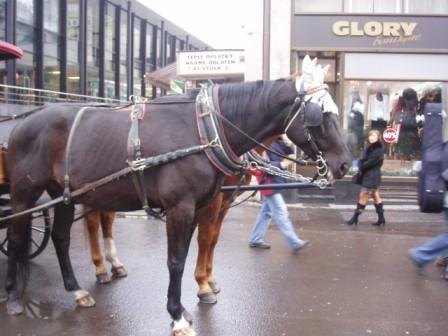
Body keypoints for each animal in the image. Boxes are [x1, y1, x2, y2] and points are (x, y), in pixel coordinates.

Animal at [5, 59, 352, 334]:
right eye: (320, 115)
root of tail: (23, 121)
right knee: (17, 235)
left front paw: (194, 296)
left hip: (64, 194)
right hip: (24, 195)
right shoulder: (180, 207)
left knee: (62, 238)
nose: (345, 164)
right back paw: (13, 296)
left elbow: (200, 246)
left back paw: (77, 289)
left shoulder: (203, 204)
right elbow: (176, 260)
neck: (204, 130)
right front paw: (179, 315)